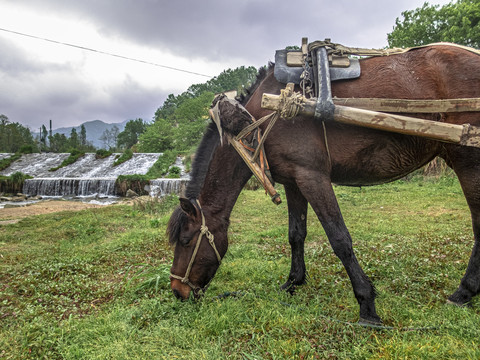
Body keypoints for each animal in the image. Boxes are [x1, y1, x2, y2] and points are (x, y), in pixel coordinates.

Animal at [167, 43, 480, 324]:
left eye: (185, 240)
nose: (177, 291)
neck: (261, 120)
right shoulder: (293, 181)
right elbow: (296, 234)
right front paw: (293, 282)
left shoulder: (312, 176)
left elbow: (339, 238)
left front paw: (366, 304)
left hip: (468, 161)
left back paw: (464, 292)